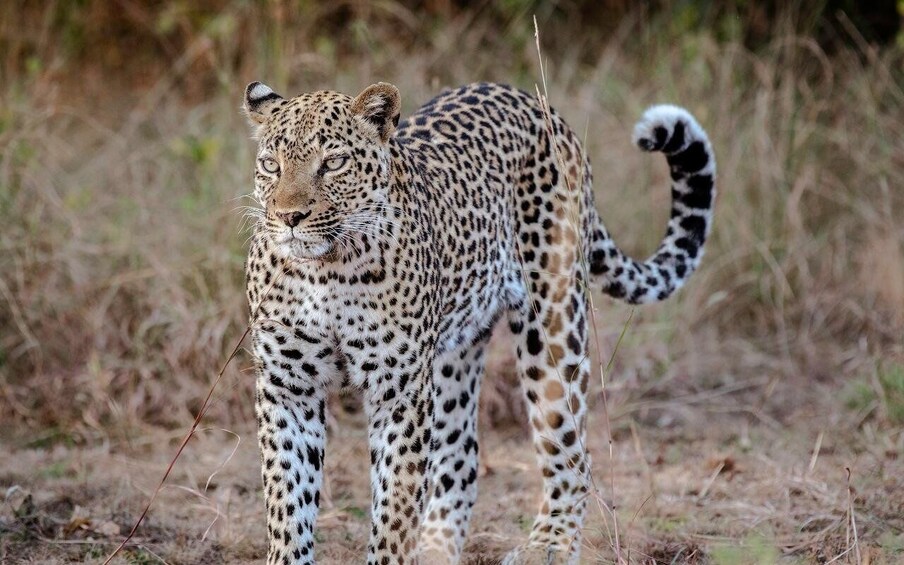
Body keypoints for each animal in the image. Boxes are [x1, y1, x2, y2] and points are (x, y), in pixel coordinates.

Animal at [242, 80, 716, 564]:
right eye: (271, 165)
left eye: (333, 163)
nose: (289, 217)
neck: (326, 272)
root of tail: (535, 103)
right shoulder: (287, 387)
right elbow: (288, 501)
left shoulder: (400, 391)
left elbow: (394, 506)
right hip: (455, 353)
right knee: (461, 458)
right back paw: (437, 546)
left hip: (553, 323)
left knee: (572, 453)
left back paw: (548, 544)